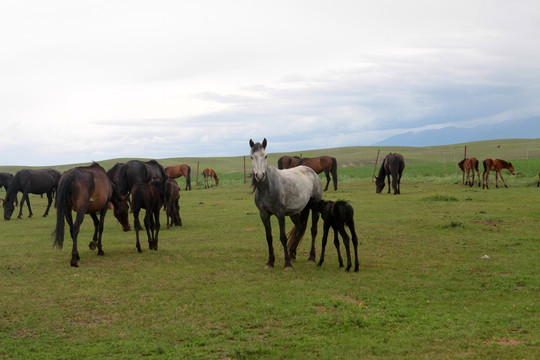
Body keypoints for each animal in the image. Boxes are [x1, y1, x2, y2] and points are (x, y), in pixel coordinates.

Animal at [249, 139, 320, 268]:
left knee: (313, 230)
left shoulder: (280, 214)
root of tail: (311, 171)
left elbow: (283, 237)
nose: (260, 176)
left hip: (315, 209)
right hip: (294, 213)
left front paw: (287, 264)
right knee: (300, 227)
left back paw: (311, 257)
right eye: (252, 157)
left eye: (265, 156)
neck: (267, 188)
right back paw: (292, 253)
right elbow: (269, 237)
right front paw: (270, 262)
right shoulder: (264, 215)